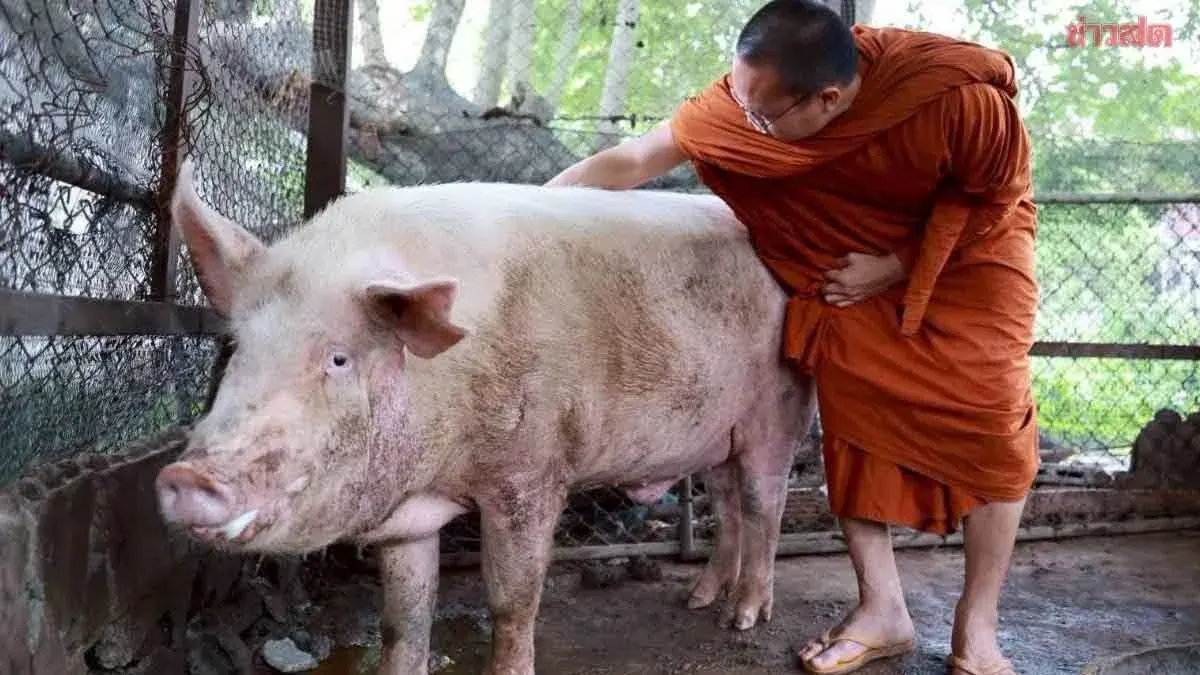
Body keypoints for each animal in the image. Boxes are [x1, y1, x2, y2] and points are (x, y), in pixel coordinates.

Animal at [154, 160, 816, 675]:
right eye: (235, 346)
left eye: (339, 358)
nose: (186, 477)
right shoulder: (409, 517)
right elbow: (404, 617)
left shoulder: (531, 473)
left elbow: (511, 601)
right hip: (718, 438)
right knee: (726, 503)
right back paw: (699, 601)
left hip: (778, 408)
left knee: (764, 504)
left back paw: (741, 620)